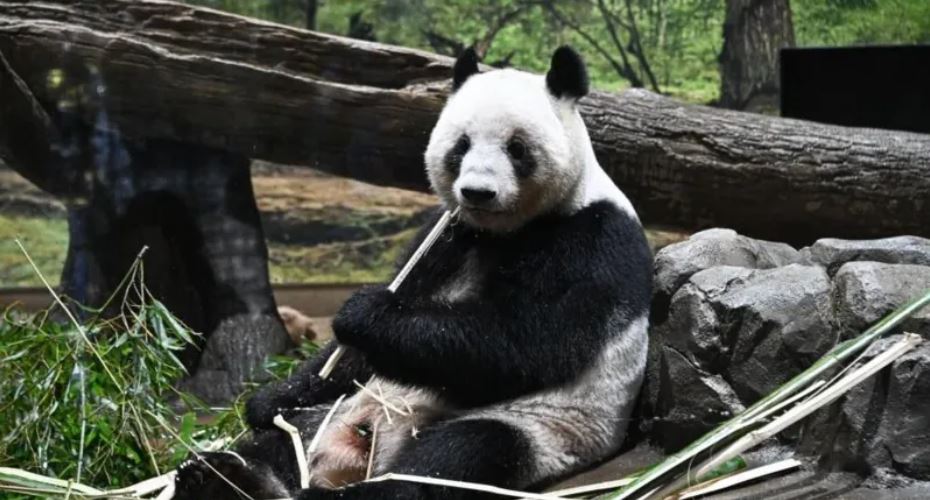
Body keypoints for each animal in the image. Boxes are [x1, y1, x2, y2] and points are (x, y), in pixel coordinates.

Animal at [173, 45, 652, 500]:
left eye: (517, 148)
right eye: (461, 145)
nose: (477, 192)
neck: (502, 233)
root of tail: (360, 452)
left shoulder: (590, 239)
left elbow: (528, 342)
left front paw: (365, 313)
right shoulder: (446, 236)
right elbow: (352, 355)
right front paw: (268, 399)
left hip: (542, 429)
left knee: (457, 456)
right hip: (337, 411)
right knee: (283, 441)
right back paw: (228, 477)